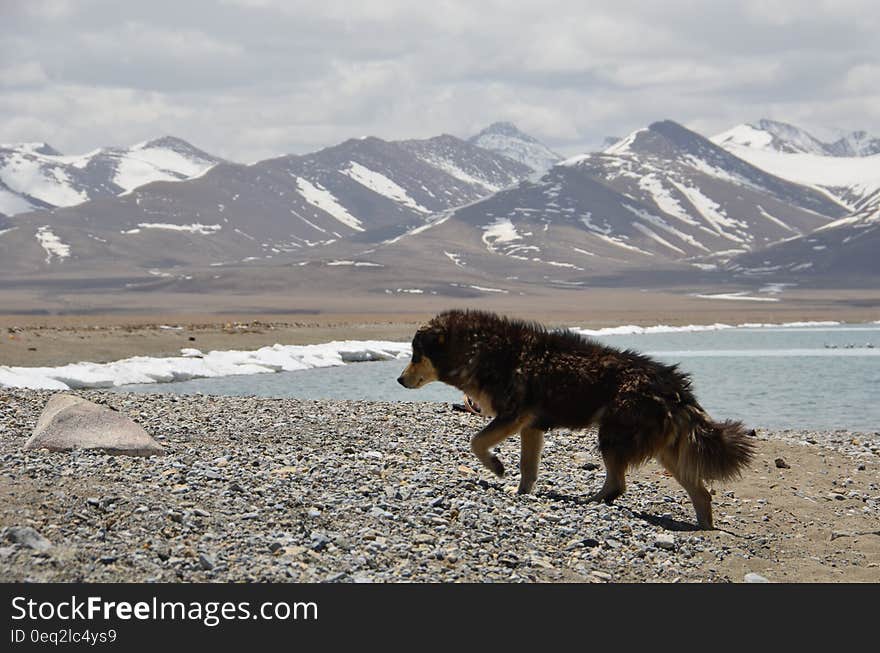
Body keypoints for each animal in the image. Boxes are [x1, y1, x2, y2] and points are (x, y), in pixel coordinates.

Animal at [396, 308, 752, 528]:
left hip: (612, 437)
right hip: (664, 452)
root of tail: (675, 386)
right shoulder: (530, 426)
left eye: (416, 354)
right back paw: (703, 529)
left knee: (618, 484)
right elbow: (528, 468)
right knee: (701, 493)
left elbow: (476, 441)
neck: (484, 349)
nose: (399, 380)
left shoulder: (513, 416)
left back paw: (590, 502)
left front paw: (496, 468)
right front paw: (521, 493)